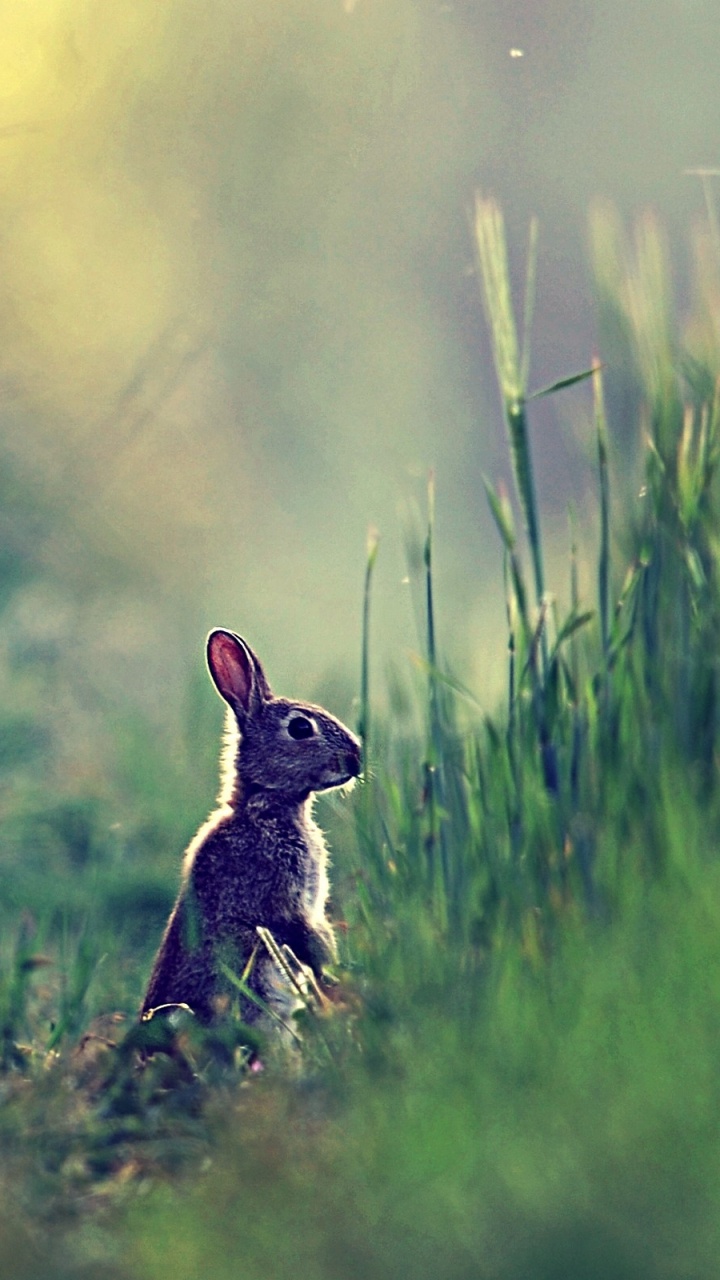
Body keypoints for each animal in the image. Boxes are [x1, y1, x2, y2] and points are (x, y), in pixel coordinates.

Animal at [141, 628, 362, 1030]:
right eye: (300, 727)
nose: (356, 758)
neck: (264, 805)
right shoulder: (285, 903)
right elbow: (308, 939)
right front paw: (334, 982)